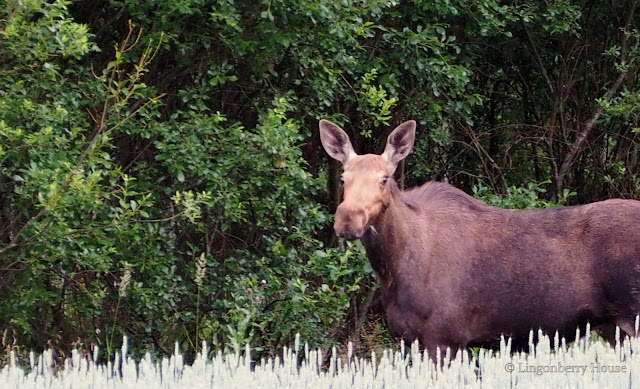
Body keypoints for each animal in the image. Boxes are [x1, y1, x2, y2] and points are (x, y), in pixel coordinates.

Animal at [320, 119, 640, 360]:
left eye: (384, 178)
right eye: (343, 178)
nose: (347, 219)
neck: (394, 270)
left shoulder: (444, 337)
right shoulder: (409, 339)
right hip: (612, 328)